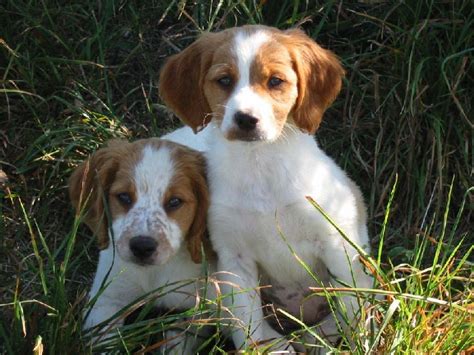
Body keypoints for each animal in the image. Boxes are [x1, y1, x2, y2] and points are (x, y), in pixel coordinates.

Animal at [69, 138, 213, 354]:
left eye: (175, 201)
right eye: (124, 197)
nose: (142, 247)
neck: (154, 273)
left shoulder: (198, 307)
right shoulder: (106, 300)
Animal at [161, 25, 376, 354]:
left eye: (275, 81)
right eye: (224, 80)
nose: (246, 119)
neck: (260, 165)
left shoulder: (335, 241)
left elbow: (351, 306)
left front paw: (362, 342)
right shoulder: (235, 260)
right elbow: (248, 324)